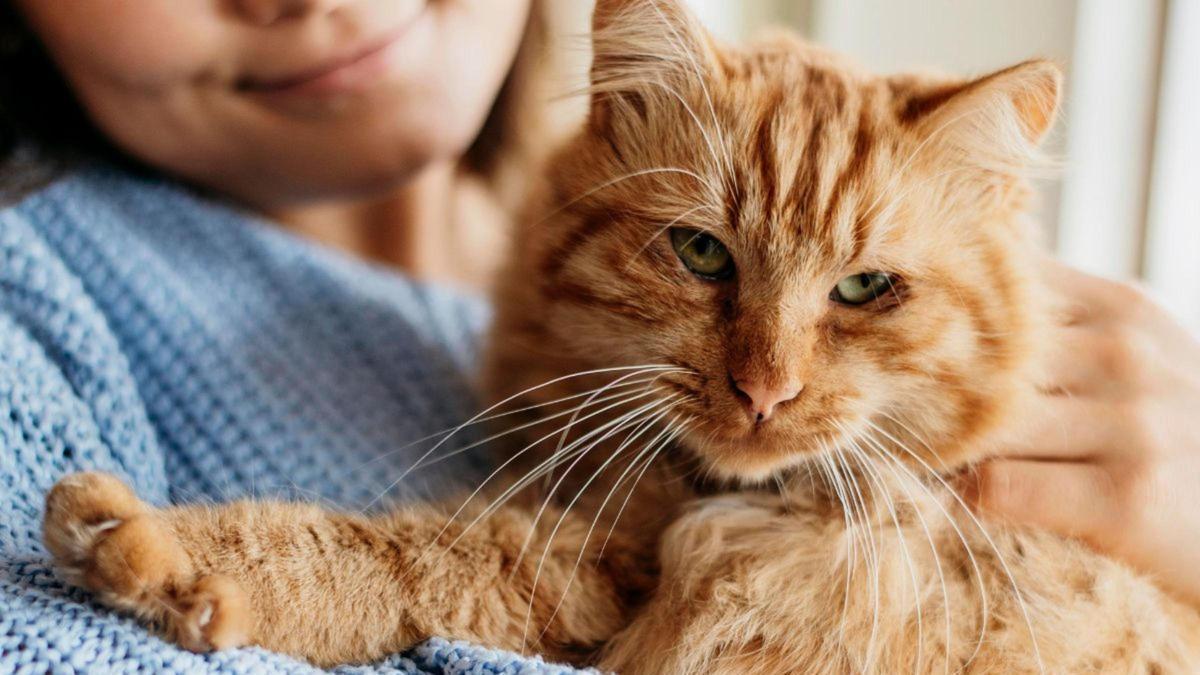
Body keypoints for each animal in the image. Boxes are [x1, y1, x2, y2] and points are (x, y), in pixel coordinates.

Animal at [41, 0, 1200, 672]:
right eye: (701, 254)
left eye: (864, 288)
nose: (764, 392)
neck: (711, 500)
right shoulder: (599, 546)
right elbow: (393, 559)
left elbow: (384, 553)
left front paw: (157, 552)